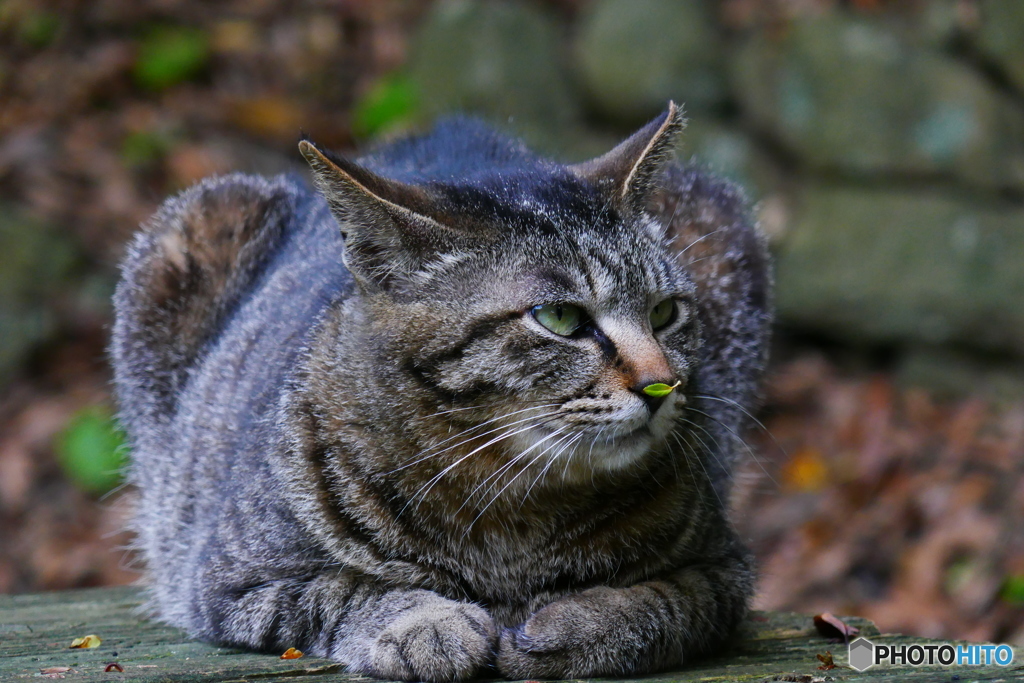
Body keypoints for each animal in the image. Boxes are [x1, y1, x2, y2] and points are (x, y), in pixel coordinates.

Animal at [112, 102, 770, 683]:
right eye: (559, 318)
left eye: (665, 313)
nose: (665, 384)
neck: (511, 510)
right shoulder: (232, 579)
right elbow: (350, 588)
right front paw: (425, 626)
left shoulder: (721, 571)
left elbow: (657, 604)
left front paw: (579, 623)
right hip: (194, 222)